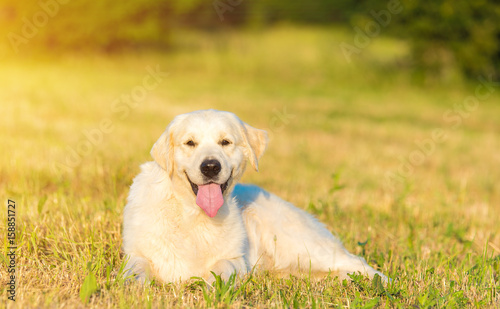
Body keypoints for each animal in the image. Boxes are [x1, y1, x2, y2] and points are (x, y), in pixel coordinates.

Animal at [122, 109, 386, 282]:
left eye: (225, 142)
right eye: (190, 143)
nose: (211, 167)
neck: (191, 214)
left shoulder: (236, 259)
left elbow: (222, 269)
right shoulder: (136, 253)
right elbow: (135, 271)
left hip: (301, 245)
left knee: (358, 263)